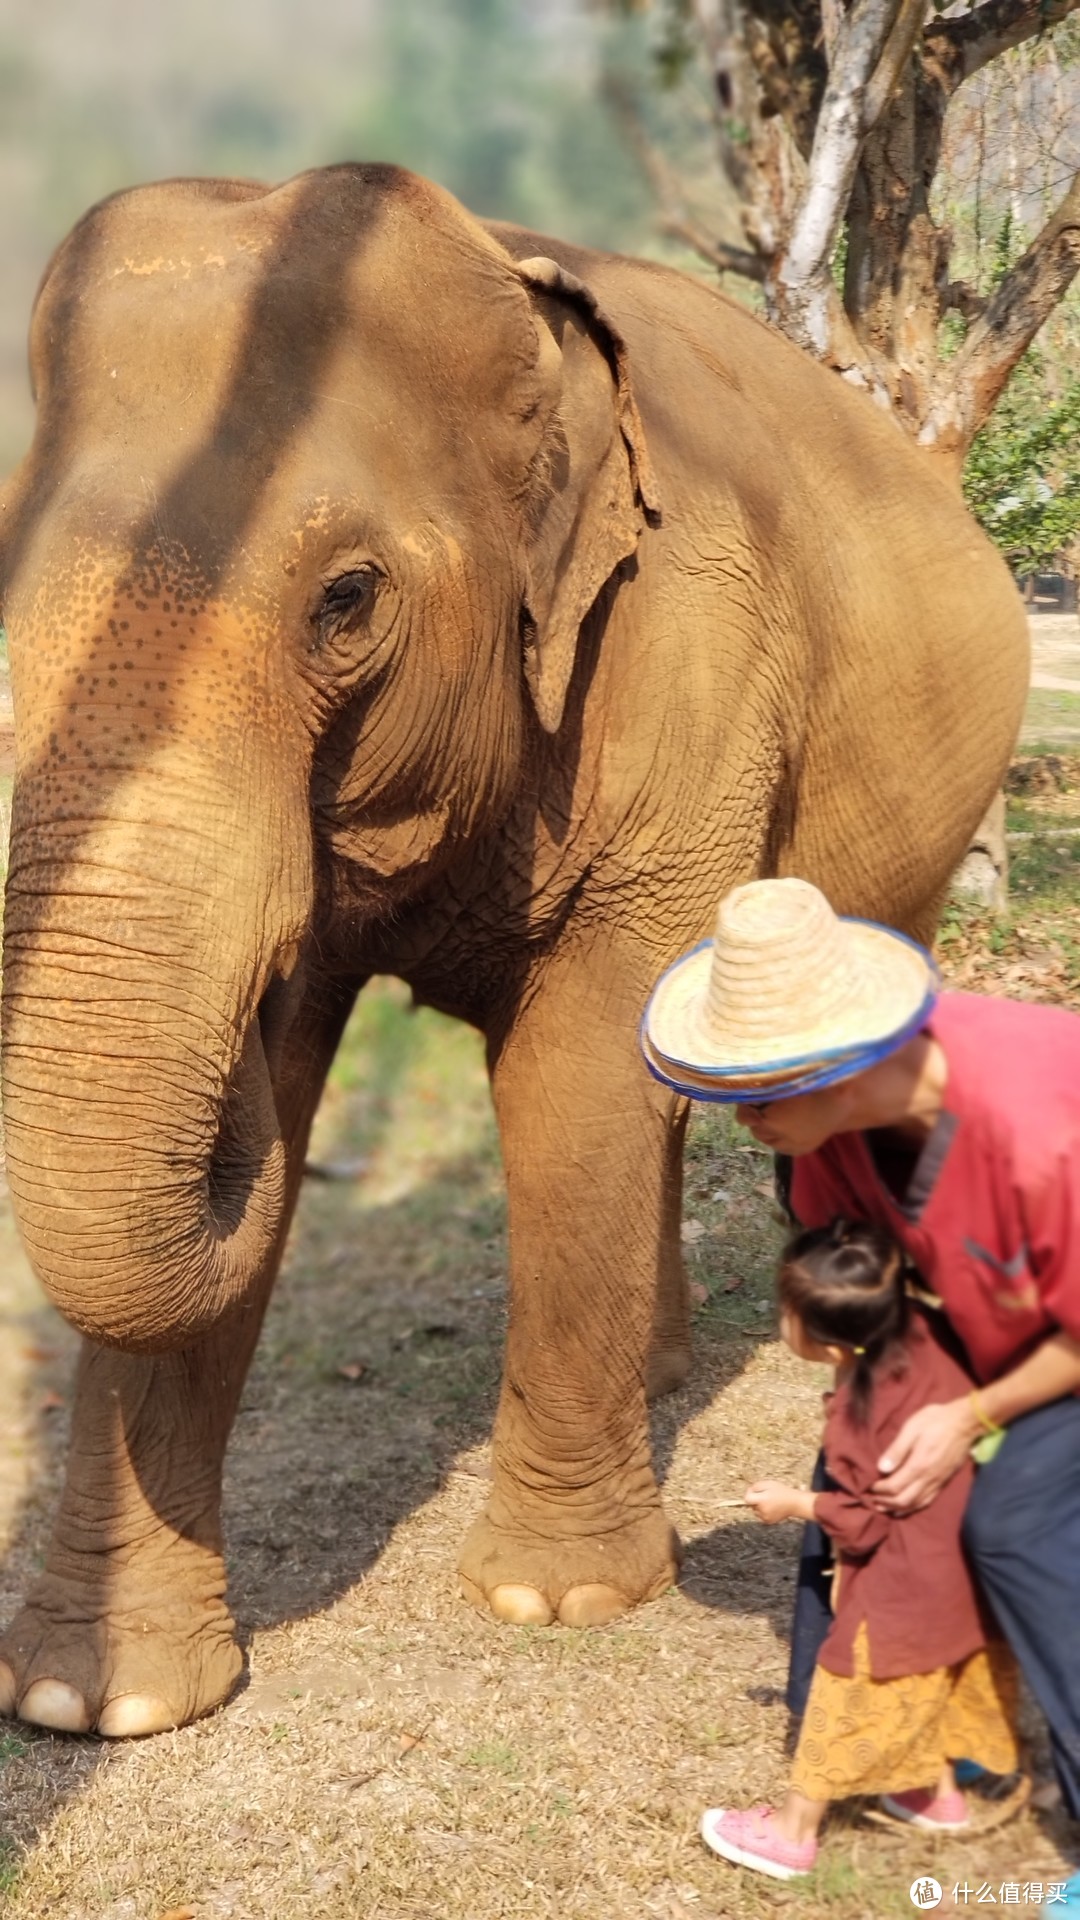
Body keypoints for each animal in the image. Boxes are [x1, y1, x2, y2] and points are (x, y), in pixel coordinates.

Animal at [0, 165, 1022, 1743]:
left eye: (346, 598)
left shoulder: (683, 649)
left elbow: (576, 1079)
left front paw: (558, 1599)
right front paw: (88, 1704)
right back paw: (662, 1376)